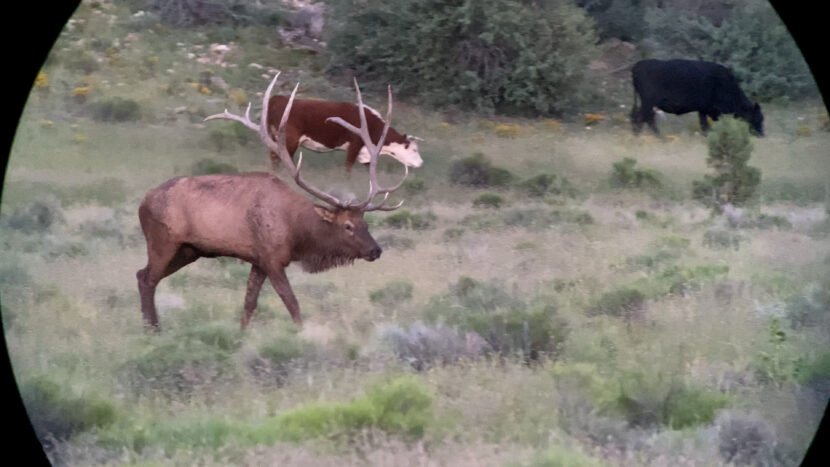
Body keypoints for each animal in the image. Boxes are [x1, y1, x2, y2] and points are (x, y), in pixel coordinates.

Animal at [264, 94, 422, 171]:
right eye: (414, 150)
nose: (421, 162)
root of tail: (278, 99)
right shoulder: (355, 145)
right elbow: (347, 168)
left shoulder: (367, 154)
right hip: (289, 140)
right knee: (279, 158)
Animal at [632, 59, 764, 137]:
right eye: (757, 117)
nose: (762, 134)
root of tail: (637, 65)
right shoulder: (710, 110)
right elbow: (705, 125)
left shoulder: (703, 110)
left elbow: (704, 124)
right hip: (649, 103)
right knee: (643, 118)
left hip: (649, 104)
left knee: (644, 118)